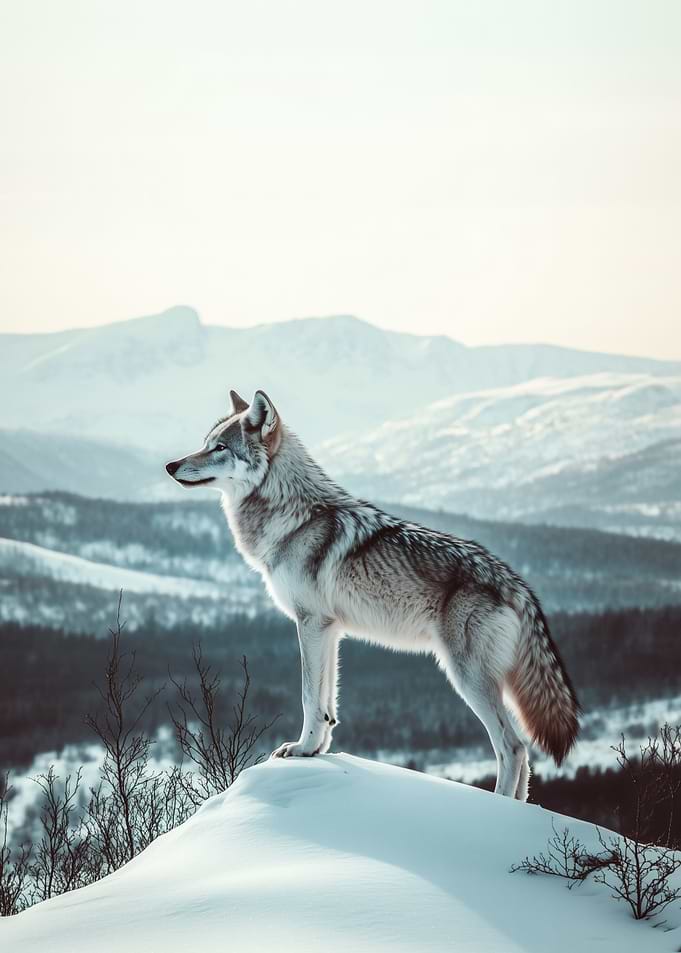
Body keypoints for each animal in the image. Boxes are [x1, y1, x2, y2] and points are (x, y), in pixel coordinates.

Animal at [166, 389, 580, 800]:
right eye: (205, 443)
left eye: (219, 447)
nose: (170, 465)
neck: (293, 515)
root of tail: (514, 583)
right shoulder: (330, 630)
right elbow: (327, 703)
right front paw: (317, 750)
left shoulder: (310, 623)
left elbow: (308, 696)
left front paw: (300, 749)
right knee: (522, 752)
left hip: (467, 677)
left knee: (513, 746)